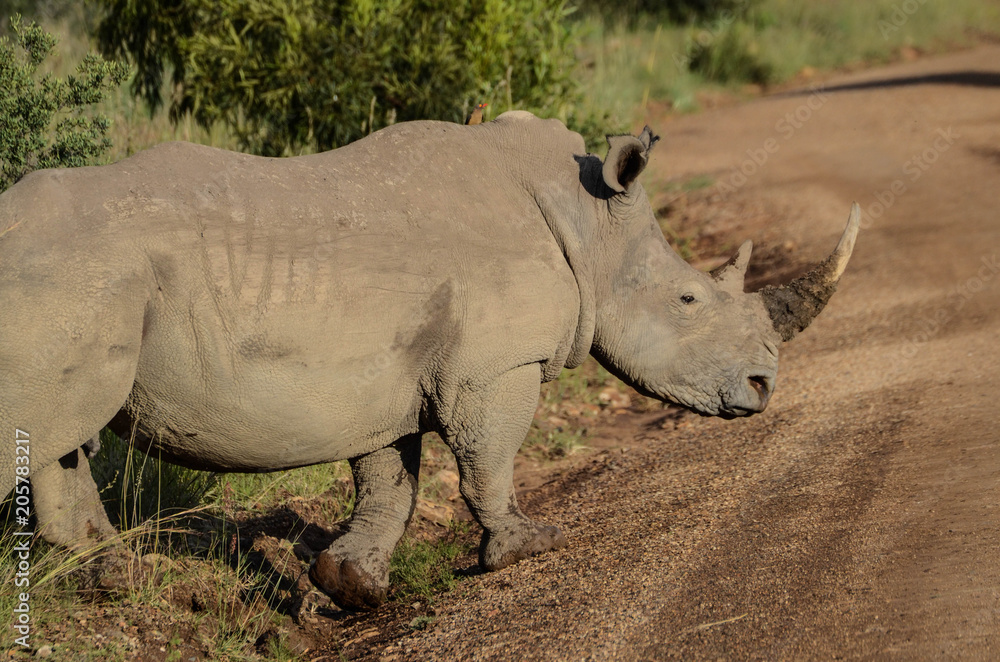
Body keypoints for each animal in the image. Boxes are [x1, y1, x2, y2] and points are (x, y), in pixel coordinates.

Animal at [0, 111, 858, 609]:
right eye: (688, 301)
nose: (763, 386)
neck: (589, 225)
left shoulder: (387, 373)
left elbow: (391, 481)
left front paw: (352, 585)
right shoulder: (498, 364)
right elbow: (488, 461)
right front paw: (528, 546)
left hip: (88, 284)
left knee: (62, 442)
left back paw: (115, 582)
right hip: (69, 277)